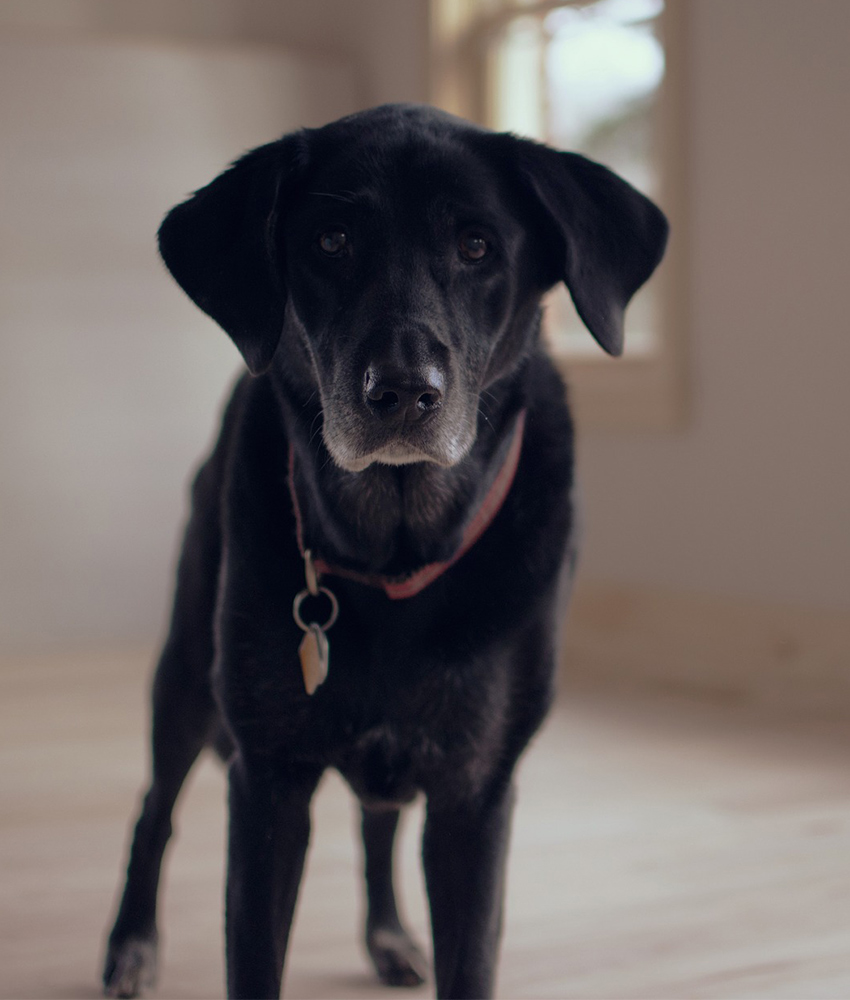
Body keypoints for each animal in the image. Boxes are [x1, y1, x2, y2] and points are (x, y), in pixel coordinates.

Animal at [102, 105, 664, 996]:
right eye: (331, 240)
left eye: (477, 246)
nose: (402, 392)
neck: (396, 550)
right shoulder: (267, 782)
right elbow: (251, 956)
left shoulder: (475, 792)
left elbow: (470, 958)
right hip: (187, 668)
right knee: (154, 809)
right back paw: (131, 942)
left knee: (375, 823)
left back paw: (391, 934)